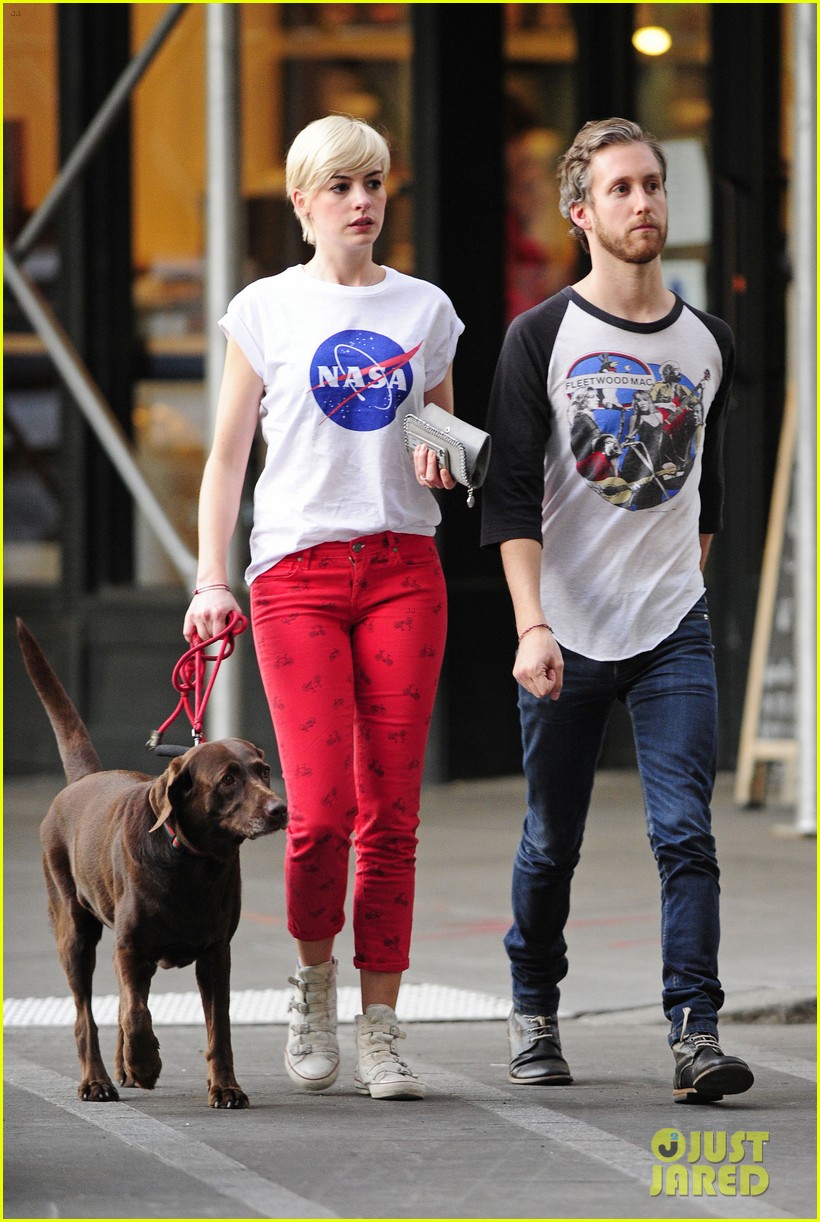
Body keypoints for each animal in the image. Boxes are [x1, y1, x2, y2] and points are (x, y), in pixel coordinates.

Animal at [15, 620, 288, 1109]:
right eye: (228, 779)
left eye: (263, 770)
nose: (280, 809)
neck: (193, 864)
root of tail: (83, 780)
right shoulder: (129, 948)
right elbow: (135, 1014)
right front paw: (145, 1063)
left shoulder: (216, 955)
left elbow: (219, 1031)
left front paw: (226, 1088)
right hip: (74, 931)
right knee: (88, 1015)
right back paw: (98, 1080)